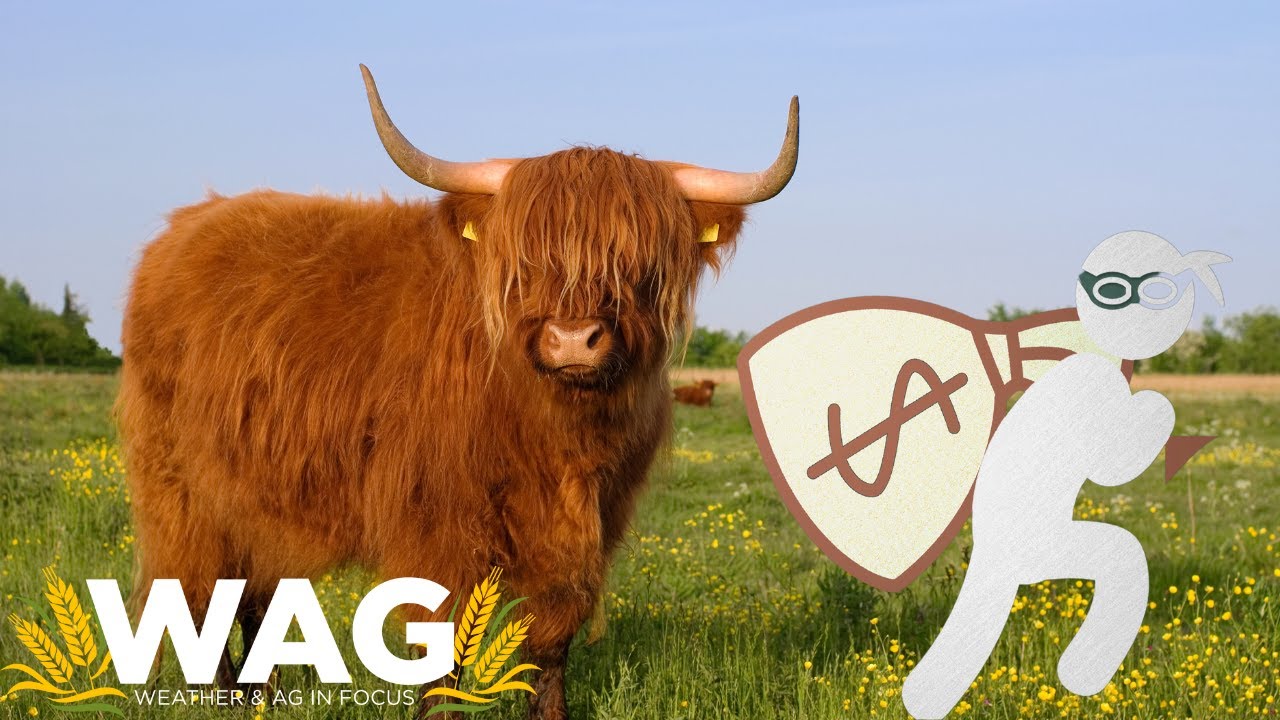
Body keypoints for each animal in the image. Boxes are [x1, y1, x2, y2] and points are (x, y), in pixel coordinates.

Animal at [115, 65, 797, 719]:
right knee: (199, 601)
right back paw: (226, 700)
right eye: (527, 259)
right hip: (183, 495)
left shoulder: (587, 528)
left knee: (252, 601)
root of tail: (187, 224)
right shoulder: (435, 523)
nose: (573, 340)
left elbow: (551, 642)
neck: (551, 430)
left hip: (256, 501)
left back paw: (262, 699)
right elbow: (442, 647)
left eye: (642, 263)